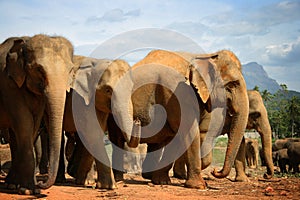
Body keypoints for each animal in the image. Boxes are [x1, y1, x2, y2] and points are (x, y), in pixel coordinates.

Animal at [0, 34, 74, 194]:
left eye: (71, 70)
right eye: (39, 69)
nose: (41, 183)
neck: (24, 41)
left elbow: (32, 124)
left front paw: (21, 186)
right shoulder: (8, 85)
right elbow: (24, 122)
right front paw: (27, 189)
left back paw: (10, 183)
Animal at [105, 48, 248, 189]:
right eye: (232, 85)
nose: (215, 171)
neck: (204, 56)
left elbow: (178, 135)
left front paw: (162, 182)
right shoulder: (177, 92)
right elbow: (189, 132)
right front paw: (199, 186)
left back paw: (149, 177)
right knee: (117, 140)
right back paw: (119, 180)